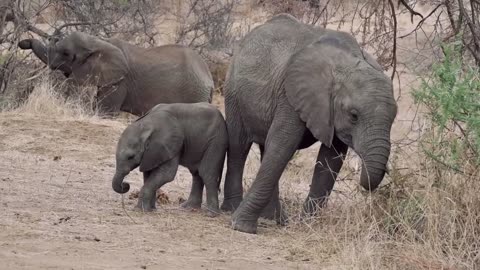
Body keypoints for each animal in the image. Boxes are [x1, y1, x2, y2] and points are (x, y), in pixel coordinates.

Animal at [18, 31, 214, 116]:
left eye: (66, 53)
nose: (22, 42)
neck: (98, 40)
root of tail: (209, 77)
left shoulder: (119, 81)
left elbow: (105, 111)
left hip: (194, 95)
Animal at [221, 14, 398, 234]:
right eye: (354, 115)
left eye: (394, 119)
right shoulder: (292, 95)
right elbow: (282, 146)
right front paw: (242, 227)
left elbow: (331, 160)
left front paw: (307, 225)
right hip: (233, 91)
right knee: (239, 146)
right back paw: (232, 209)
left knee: (265, 148)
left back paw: (275, 219)